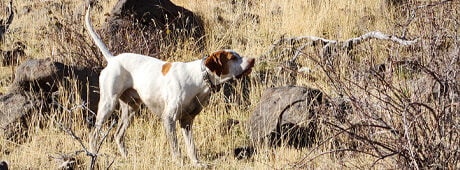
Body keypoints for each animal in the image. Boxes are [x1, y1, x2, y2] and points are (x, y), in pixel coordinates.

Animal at [85, 4, 255, 167]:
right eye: (233, 58)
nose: (252, 60)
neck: (199, 79)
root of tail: (113, 59)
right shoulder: (169, 118)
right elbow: (176, 147)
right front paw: (179, 162)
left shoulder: (187, 121)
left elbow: (191, 147)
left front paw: (197, 163)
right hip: (108, 104)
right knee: (94, 135)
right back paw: (94, 156)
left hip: (131, 108)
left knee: (118, 135)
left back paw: (126, 157)